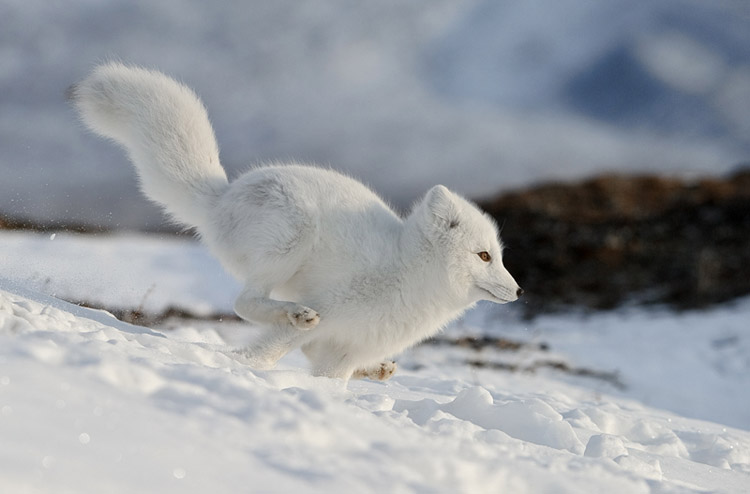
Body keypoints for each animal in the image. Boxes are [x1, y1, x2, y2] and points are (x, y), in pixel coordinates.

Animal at [70, 60, 524, 378]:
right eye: (484, 256)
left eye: (500, 256)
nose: (519, 291)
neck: (408, 275)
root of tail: (222, 196)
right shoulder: (333, 309)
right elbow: (267, 351)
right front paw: (246, 370)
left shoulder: (345, 350)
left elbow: (330, 377)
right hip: (292, 237)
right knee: (246, 303)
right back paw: (295, 314)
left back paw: (376, 370)